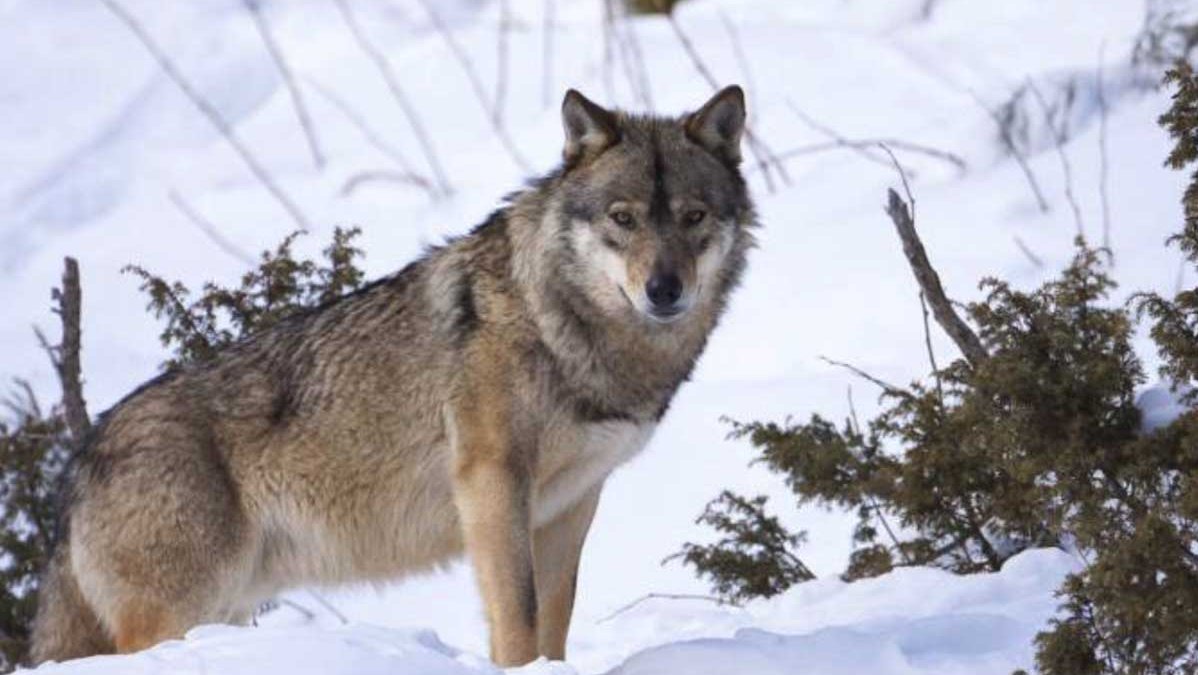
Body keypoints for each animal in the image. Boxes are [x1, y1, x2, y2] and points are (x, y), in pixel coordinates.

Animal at [28, 85, 752, 671]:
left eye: (693, 216)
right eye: (622, 218)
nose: (664, 289)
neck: (565, 327)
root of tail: (81, 456)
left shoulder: (573, 501)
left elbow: (556, 616)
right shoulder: (492, 481)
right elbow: (517, 615)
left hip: (221, 610)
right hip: (181, 613)